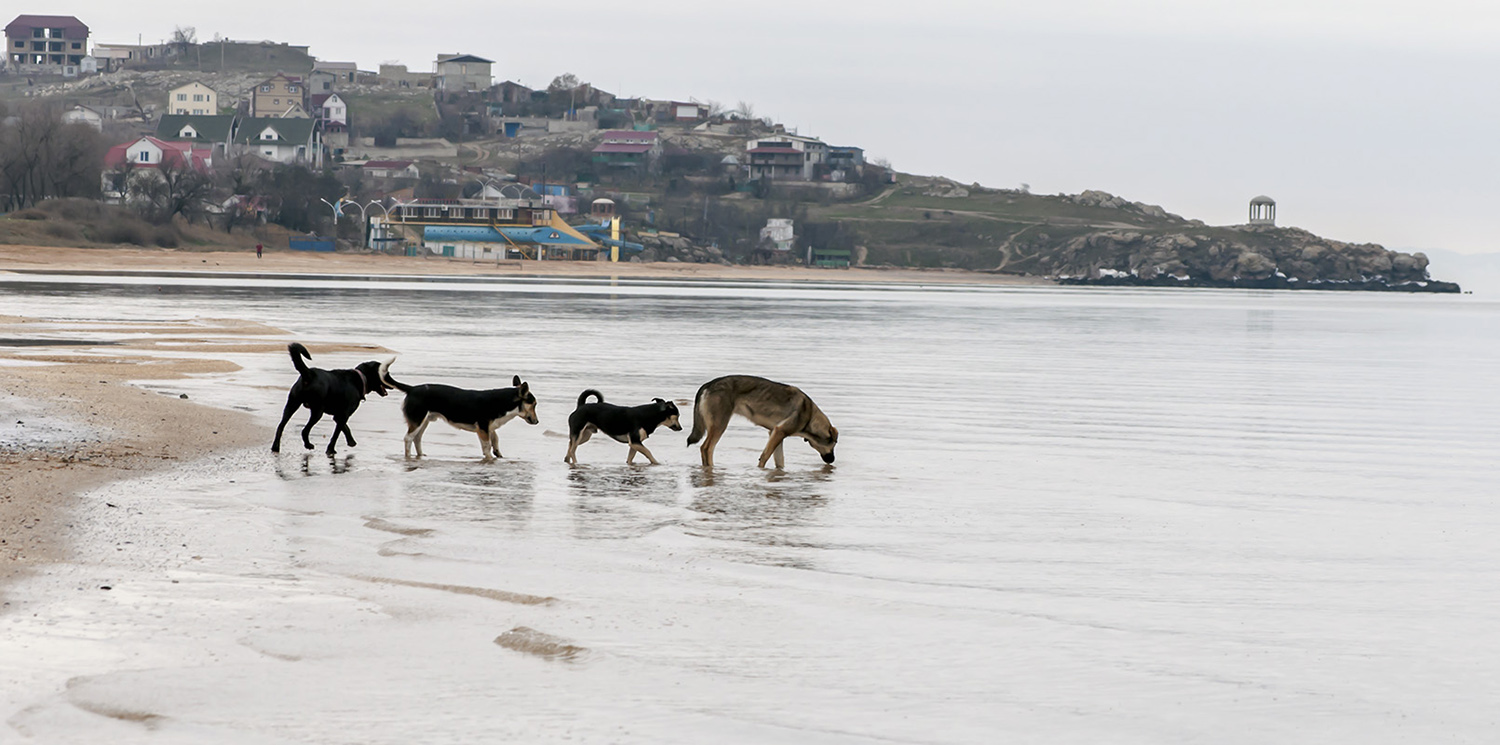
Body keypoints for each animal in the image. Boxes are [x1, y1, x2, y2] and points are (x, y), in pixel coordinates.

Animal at [381, 359, 540, 458]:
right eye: (534, 404)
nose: (537, 422)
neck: (503, 401)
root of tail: (412, 389)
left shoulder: (488, 427)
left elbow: (495, 439)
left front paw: (498, 453)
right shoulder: (482, 429)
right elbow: (487, 446)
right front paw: (489, 458)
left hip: (423, 421)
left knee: (417, 438)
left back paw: (420, 456)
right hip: (418, 420)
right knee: (408, 438)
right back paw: (408, 457)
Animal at [687, 374, 840, 467]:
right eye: (834, 444)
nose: (832, 460)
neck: (809, 415)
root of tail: (708, 384)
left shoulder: (775, 434)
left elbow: (780, 461)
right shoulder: (779, 432)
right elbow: (765, 457)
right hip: (720, 426)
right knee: (706, 448)